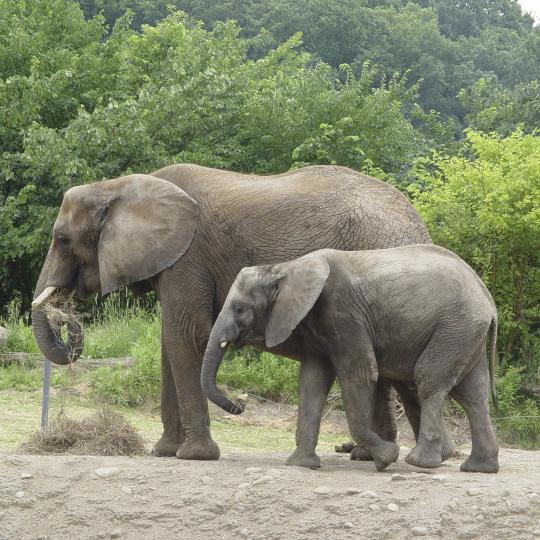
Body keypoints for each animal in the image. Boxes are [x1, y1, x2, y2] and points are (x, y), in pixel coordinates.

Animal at [32, 163, 430, 460]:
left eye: (62, 240)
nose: (240, 406)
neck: (117, 187)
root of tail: (417, 221)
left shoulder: (189, 255)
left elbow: (185, 334)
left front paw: (193, 455)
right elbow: (168, 342)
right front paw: (164, 451)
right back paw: (366, 454)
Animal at [204, 245, 502, 472]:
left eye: (238, 308)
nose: (240, 403)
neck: (284, 268)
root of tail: (487, 297)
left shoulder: (343, 313)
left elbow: (359, 374)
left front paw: (386, 458)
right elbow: (312, 382)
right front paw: (302, 465)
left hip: (455, 327)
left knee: (428, 381)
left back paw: (419, 463)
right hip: (465, 332)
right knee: (473, 394)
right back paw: (479, 468)